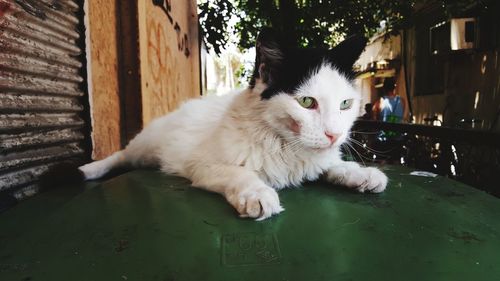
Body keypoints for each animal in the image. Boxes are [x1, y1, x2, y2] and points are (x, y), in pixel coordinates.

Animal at [80, 29, 388, 221]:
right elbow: (240, 173)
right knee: (121, 155)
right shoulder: (201, 164)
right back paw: (89, 170)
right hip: (144, 147)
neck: (286, 146)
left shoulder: (316, 160)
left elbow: (332, 165)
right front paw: (257, 193)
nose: (335, 135)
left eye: (345, 104)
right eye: (306, 102)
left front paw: (360, 173)